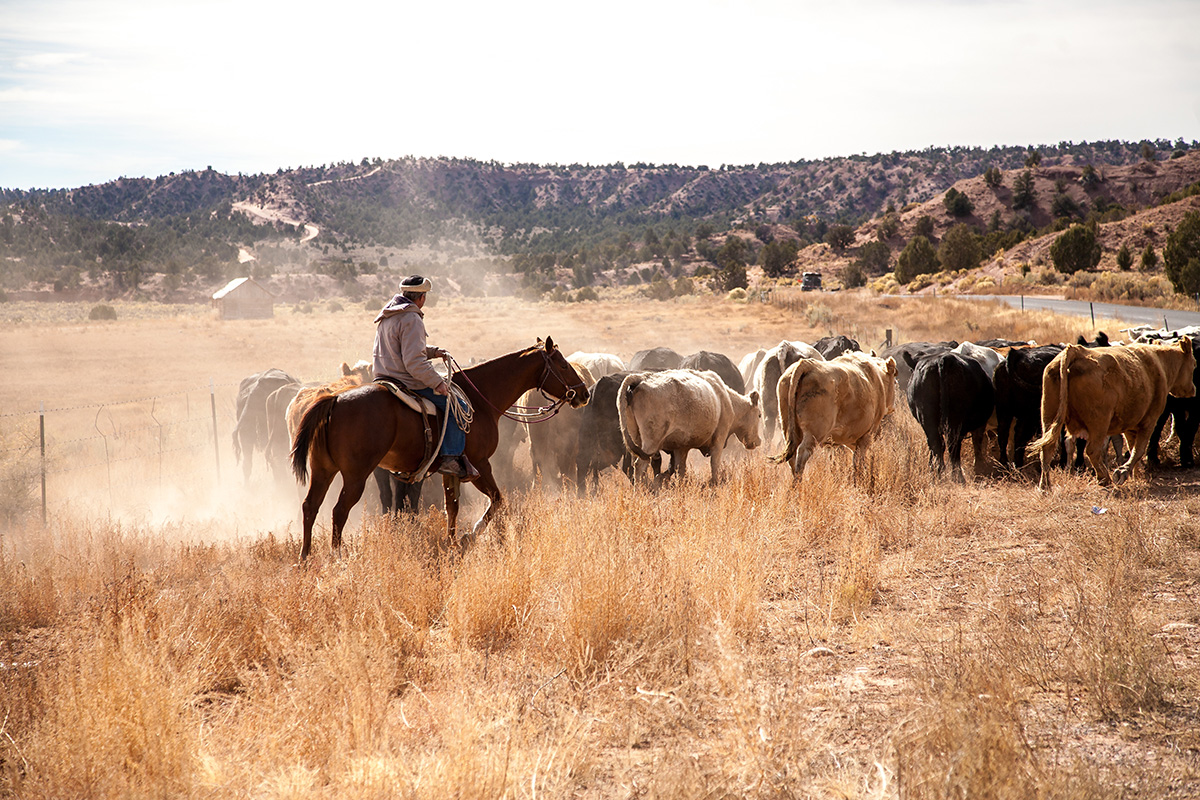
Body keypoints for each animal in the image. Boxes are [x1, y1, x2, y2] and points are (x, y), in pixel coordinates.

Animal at [290, 338, 590, 563]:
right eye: (563, 364)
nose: (584, 393)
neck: (480, 398)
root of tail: (334, 399)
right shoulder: (481, 464)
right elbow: (497, 500)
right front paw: (476, 539)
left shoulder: (452, 469)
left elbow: (452, 507)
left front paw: (453, 543)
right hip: (356, 476)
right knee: (339, 511)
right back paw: (337, 558)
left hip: (323, 470)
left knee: (310, 506)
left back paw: (304, 559)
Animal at [772, 352, 897, 482]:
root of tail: (807, 364)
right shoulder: (866, 436)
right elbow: (858, 463)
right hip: (814, 433)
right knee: (803, 452)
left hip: (788, 429)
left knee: (792, 456)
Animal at [907, 352, 993, 482]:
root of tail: (944, 360)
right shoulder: (980, 425)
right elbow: (977, 444)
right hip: (953, 420)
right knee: (952, 446)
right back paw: (956, 477)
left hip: (928, 419)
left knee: (937, 444)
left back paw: (939, 475)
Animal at [1027, 338, 1195, 489]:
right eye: (1194, 364)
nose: (1193, 390)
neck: (1160, 364)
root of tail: (1076, 351)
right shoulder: (1149, 421)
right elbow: (1139, 449)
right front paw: (1123, 472)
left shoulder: (1130, 426)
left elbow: (1132, 447)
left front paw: (1137, 475)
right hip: (1099, 423)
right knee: (1092, 450)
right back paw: (1105, 478)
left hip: (1049, 416)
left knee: (1047, 449)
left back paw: (1045, 486)